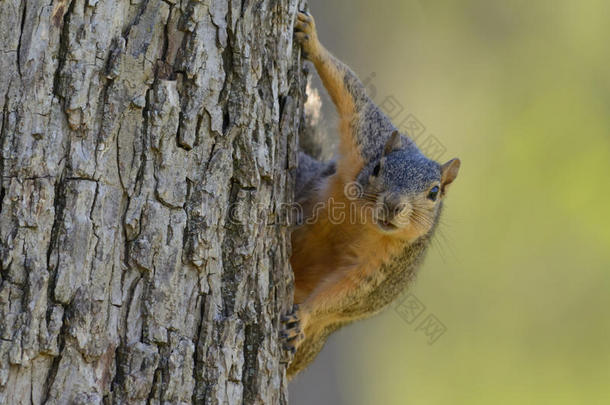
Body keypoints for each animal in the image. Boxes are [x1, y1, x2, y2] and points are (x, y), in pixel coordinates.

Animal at [282, 11, 460, 378]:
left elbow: (348, 294)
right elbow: (355, 98)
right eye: (378, 168)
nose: (392, 205)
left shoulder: (382, 268)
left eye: (434, 192)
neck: (362, 221)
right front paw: (311, 39)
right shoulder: (365, 143)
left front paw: (302, 315)